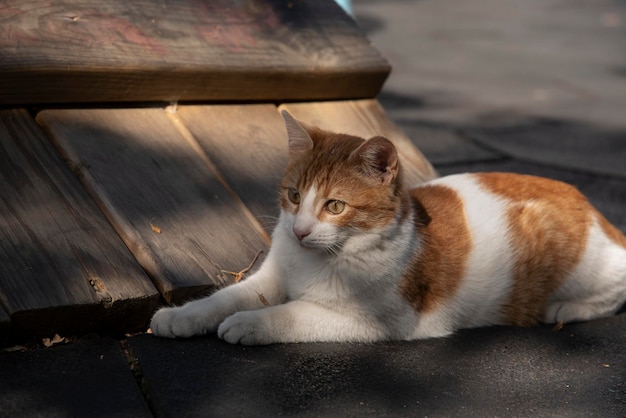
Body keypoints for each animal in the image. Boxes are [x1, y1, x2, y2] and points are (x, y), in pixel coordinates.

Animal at [150, 109, 624, 344]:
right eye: (294, 196)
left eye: (335, 206)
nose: (299, 231)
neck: (321, 260)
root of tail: (591, 206)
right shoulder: (269, 279)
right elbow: (225, 297)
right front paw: (183, 316)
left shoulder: (380, 322)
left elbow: (291, 313)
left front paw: (249, 324)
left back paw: (564, 309)